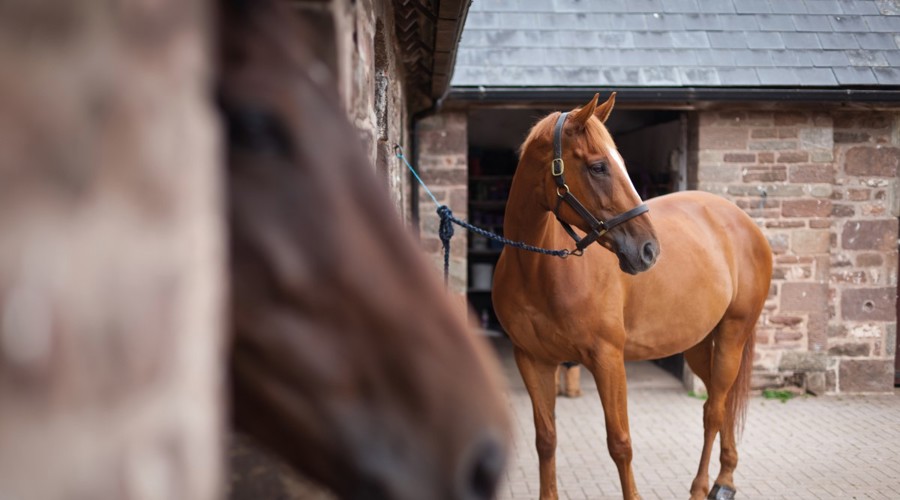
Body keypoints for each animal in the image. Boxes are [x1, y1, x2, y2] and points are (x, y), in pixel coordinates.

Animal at [492, 94, 772, 500]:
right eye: (598, 166)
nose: (648, 250)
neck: (539, 270)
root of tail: (744, 222)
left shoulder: (608, 359)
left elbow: (620, 443)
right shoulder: (532, 360)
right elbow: (546, 439)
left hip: (732, 335)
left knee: (715, 410)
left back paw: (706, 486)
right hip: (698, 343)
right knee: (720, 403)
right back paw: (727, 477)